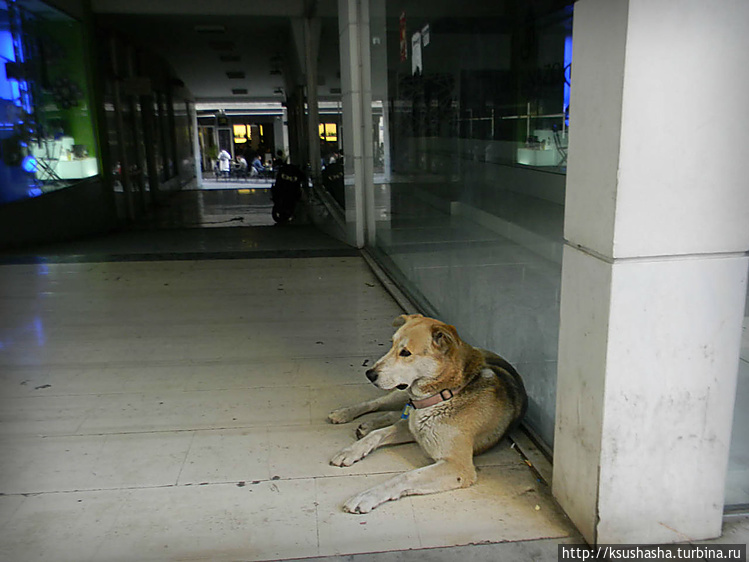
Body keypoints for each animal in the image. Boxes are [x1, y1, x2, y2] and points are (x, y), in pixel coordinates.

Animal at [328, 310, 524, 512]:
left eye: (405, 352)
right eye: (391, 345)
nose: (369, 374)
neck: (446, 394)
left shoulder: (457, 466)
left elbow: (405, 476)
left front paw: (366, 496)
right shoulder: (413, 428)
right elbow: (377, 434)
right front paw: (350, 451)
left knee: (395, 413)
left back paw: (367, 424)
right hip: (399, 393)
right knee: (377, 403)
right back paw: (345, 413)